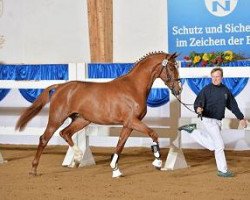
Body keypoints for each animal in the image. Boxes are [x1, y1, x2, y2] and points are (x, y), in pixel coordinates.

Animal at [15, 51, 182, 177]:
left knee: (65, 133)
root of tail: (61, 86)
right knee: (44, 138)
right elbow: (153, 133)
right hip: (57, 118)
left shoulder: (128, 124)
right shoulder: (132, 121)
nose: (179, 89)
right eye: (171, 67)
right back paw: (34, 169)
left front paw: (115, 169)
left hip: (82, 120)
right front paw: (158, 162)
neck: (133, 87)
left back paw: (77, 158)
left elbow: (120, 144)